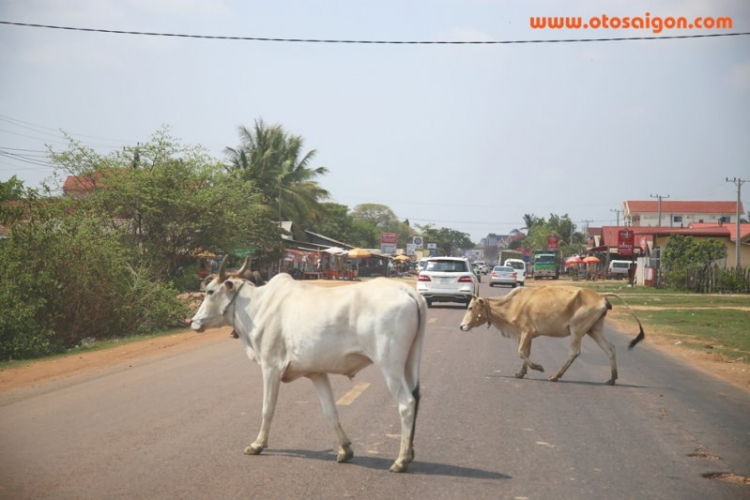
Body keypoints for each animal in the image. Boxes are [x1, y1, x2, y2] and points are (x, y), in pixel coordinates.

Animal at [192, 258, 428, 472]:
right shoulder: (316, 372)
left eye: (210, 291)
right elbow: (330, 411)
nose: (193, 322)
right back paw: (410, 453)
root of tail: (408, 291)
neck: (257, 307)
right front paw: (345, 450)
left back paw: (401, 460)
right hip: (409, 362)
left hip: (389, 364)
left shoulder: (271, 366)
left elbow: (267, 408)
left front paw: (257, 445)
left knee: (406, 403)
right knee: (416, 397)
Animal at [458, 288, 648, 384]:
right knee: (610, 349)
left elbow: (521, 353)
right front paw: (521, 373)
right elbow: (525, 353)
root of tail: (600, 296)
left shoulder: (527, 331)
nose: (462, 326)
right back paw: (612, 378)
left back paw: (555, 376)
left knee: (574, 352)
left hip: (577, 330)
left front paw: (538, 368)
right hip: (594, 329)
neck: (511, 304)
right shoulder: (526, 335)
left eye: (470, 307)